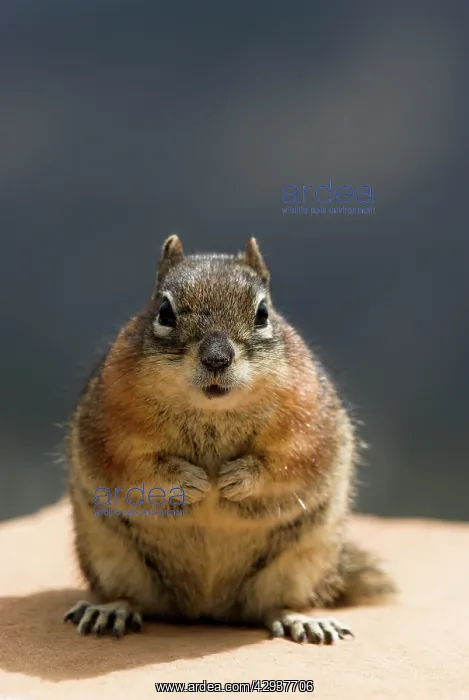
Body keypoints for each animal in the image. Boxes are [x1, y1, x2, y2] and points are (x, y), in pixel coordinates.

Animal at [64, 235, 396, 644]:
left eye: (263, 313)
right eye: (165, 312)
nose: (217, 358)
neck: (212, 412)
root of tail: (206, 607)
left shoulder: (307, 422)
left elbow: (290, 462)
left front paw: (235, 479)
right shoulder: (112, 424)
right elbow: (134, 466)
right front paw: (190, 481)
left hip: (301, 561)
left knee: (275, 605)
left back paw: (302, 619)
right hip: (111, 556)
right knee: (131, 596)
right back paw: (110, 609)